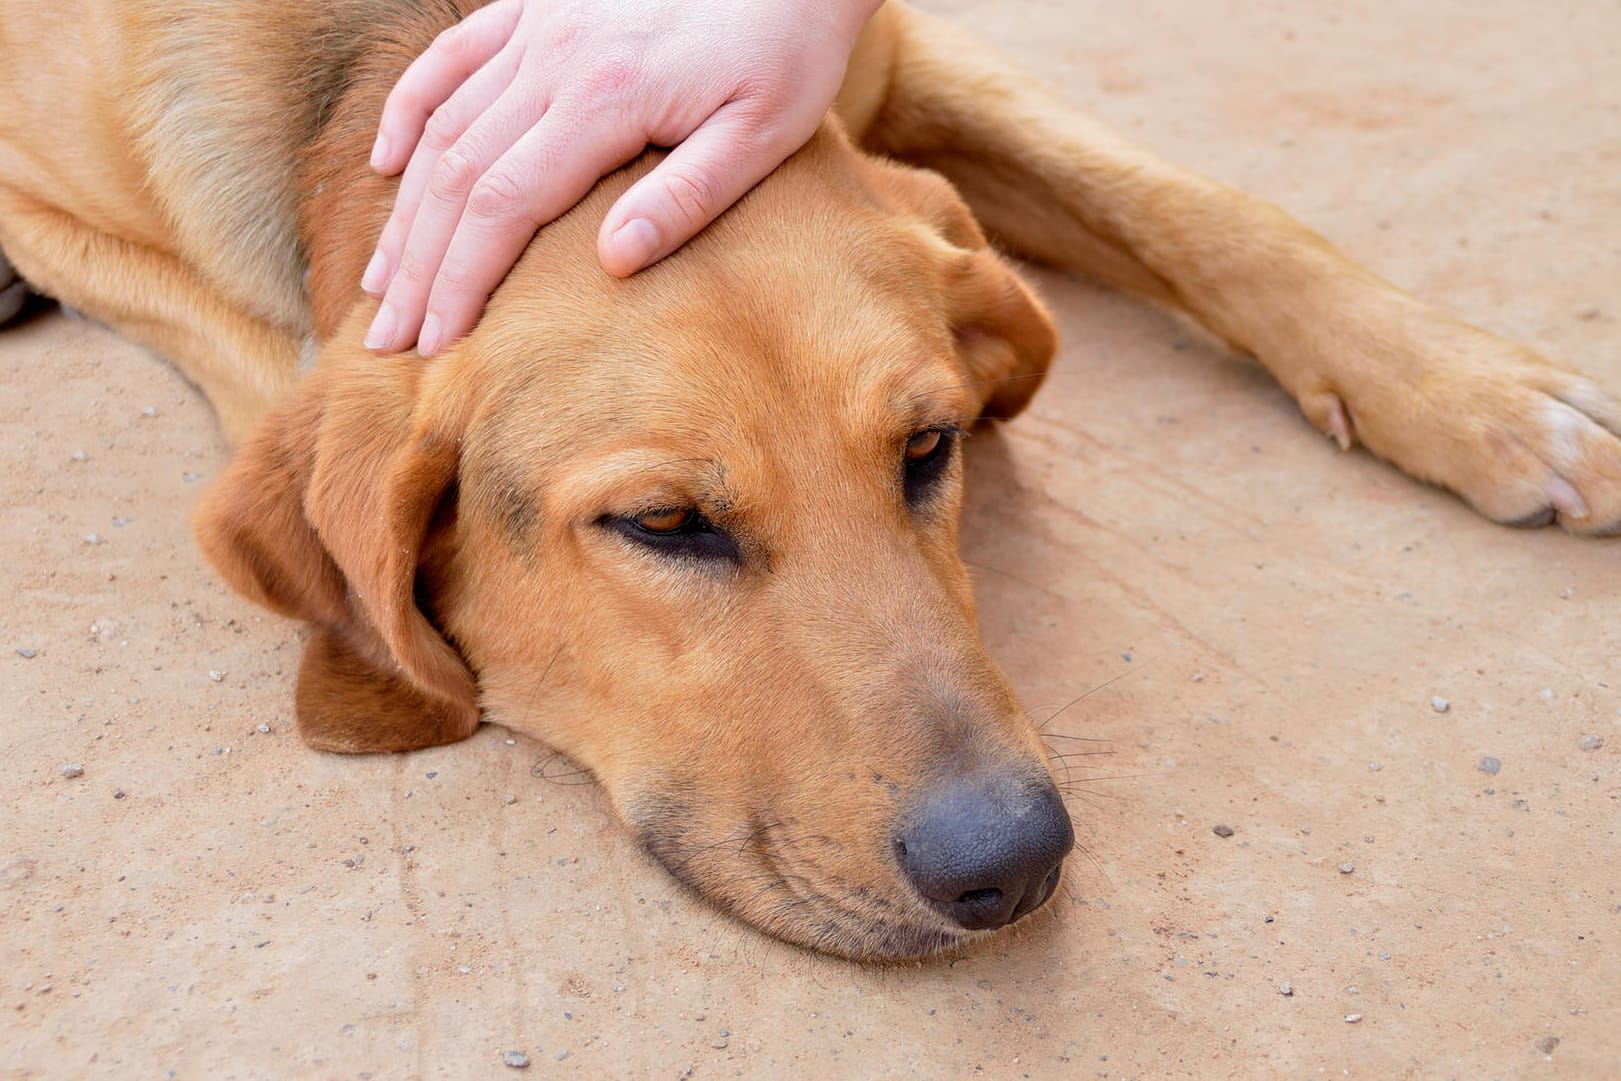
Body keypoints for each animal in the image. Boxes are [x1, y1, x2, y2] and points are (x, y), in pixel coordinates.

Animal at [3, 0, 1621, 965]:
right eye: (662, 524)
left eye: (928, 448)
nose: (1013, 865)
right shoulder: (53, 202)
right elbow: (267, 361)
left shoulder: (873, 58)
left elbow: (1200, 208)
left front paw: (1484, 395)